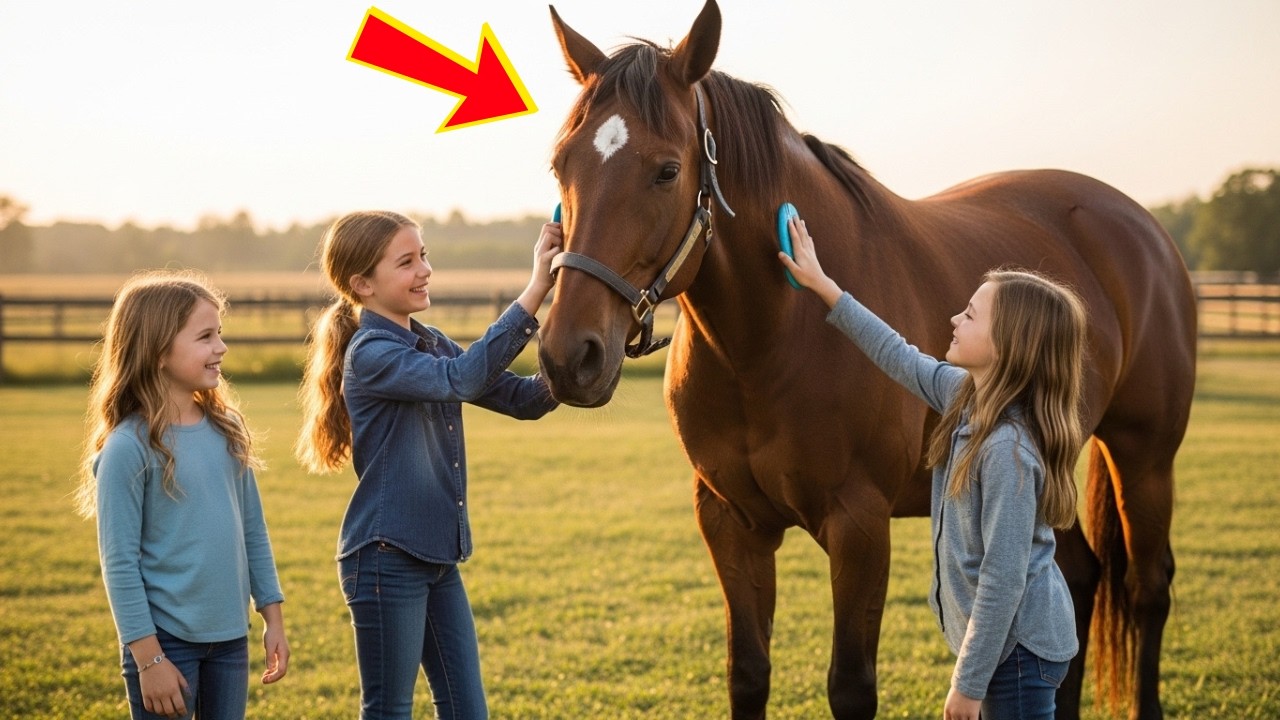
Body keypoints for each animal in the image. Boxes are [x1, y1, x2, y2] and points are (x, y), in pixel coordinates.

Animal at [537, 2, 1196, 718]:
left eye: (666, 170)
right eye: (561, 165)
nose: (570, 354)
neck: (768, 343)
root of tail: (1142, 226)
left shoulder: (859, 526)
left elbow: (851, 685)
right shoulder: (730, 522)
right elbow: (748, 672)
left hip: (1144, 457)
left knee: (1146, 587)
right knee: (1075, 577)